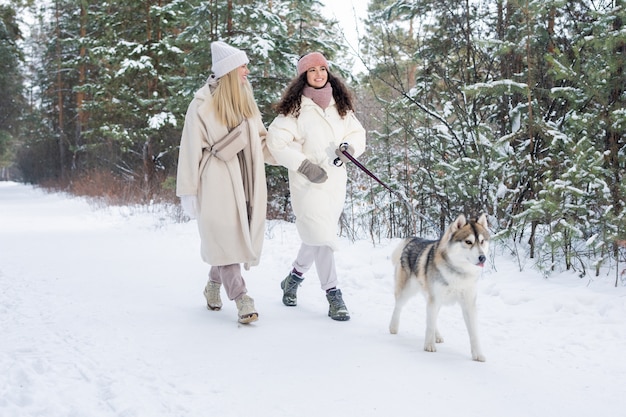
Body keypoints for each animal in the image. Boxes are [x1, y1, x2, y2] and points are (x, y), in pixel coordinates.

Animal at [390, 214, 488, 360]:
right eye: (468, 242)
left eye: (482, 241)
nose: (483, 257)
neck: (459, 272)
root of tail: (413, 238)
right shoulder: (434, 299)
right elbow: (429, 325)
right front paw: (429, 346)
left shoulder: (468, 304)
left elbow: (474, 333)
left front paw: (478, 354)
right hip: (408, 291)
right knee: (398, 306)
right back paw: (393, 327)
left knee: (433, 317)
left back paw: (437, 336)